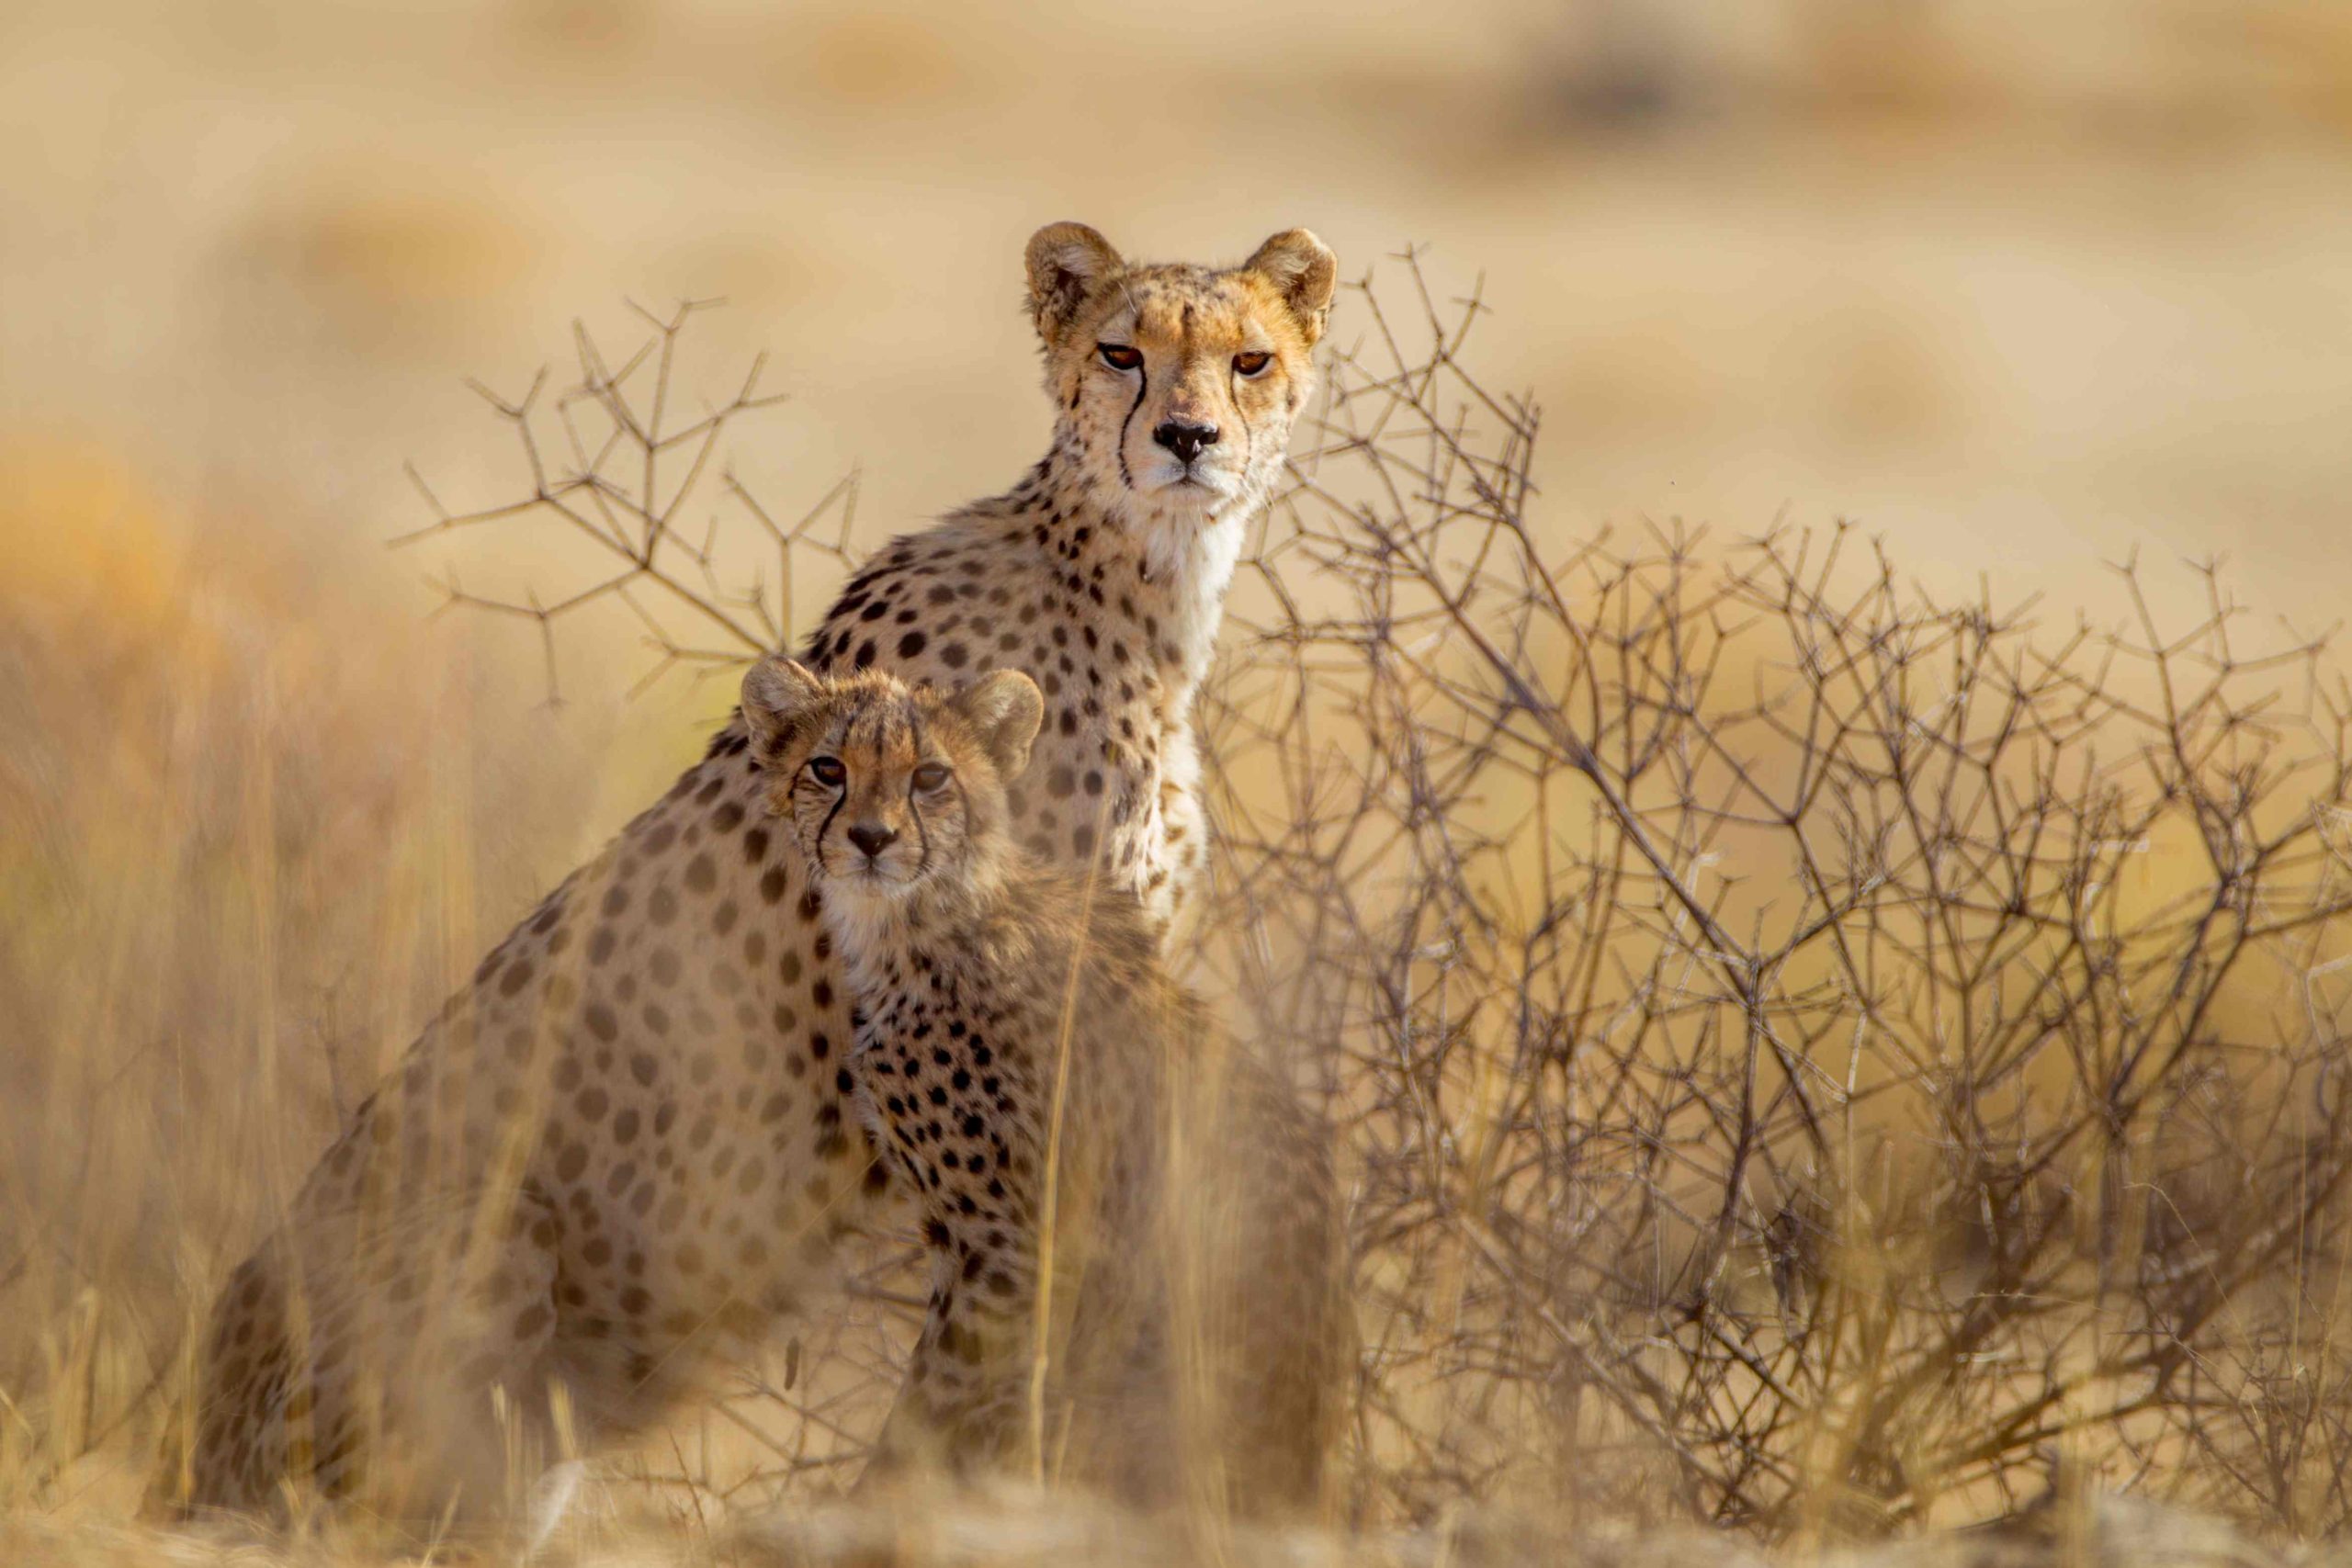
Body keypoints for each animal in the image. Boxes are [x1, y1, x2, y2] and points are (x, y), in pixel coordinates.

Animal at [739, 657, 1344, 1519]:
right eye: (828, 768)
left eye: (930, 776)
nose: (871, 838)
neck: (921, 920)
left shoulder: (1013, 1249)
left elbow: (931, 1403)